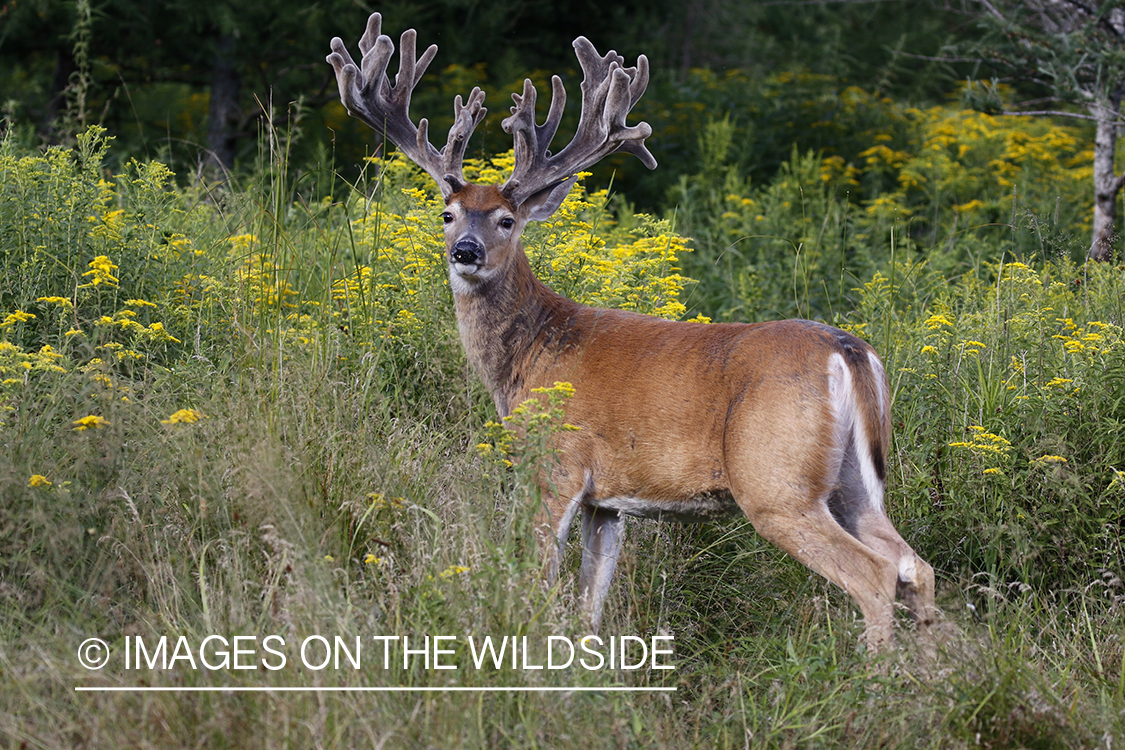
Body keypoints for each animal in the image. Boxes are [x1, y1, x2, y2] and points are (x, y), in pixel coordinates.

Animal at [328, 16, 936, 652]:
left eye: (506, 220)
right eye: (447, 214)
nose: (465, 251)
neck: (529, 353)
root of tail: (849, 350)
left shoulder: (558, 460)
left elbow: (539, 575)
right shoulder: (608, 502)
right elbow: (589, 601)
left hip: (777, 481)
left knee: (873, 574)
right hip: (853, 479)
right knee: (913, 565)